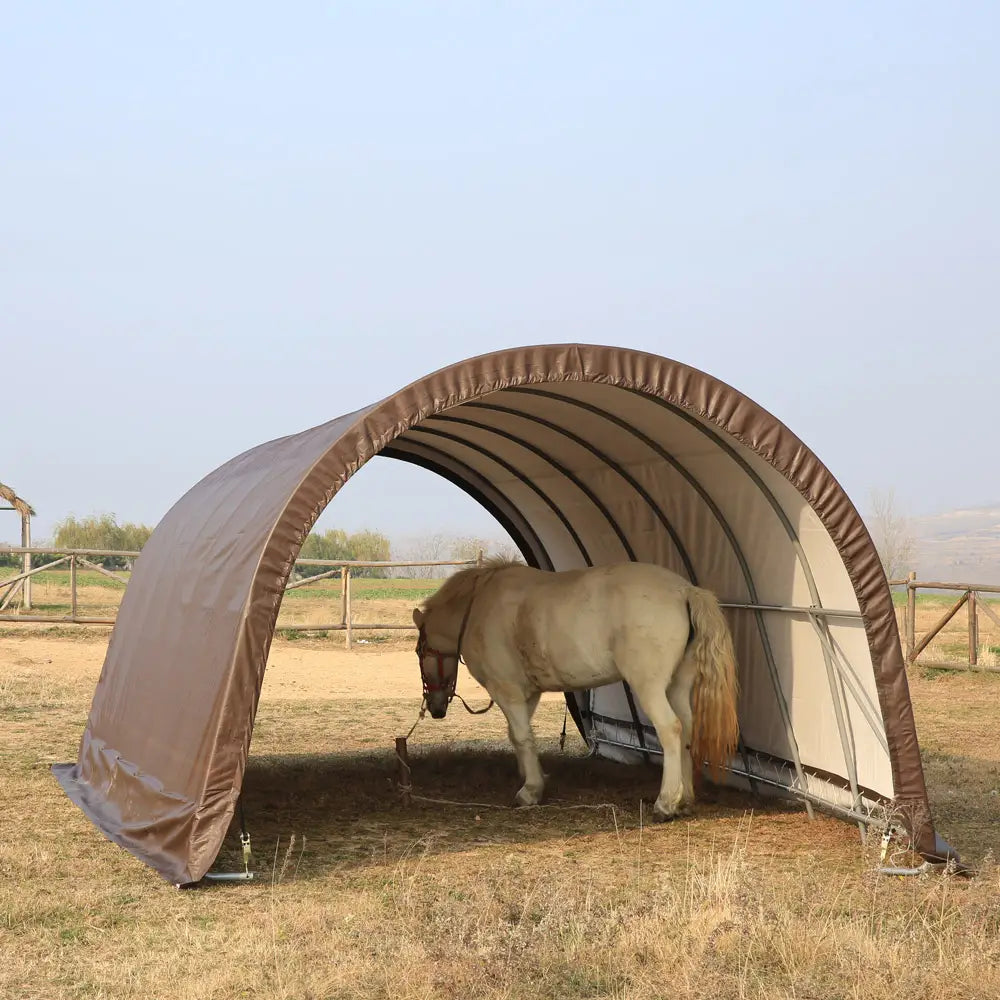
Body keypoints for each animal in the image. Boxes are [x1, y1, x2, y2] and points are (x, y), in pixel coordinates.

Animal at [411, 559, 740, 820]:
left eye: (419, 651)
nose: (435, 707)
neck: (478, 607)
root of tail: (684, 590)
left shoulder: (507, 691)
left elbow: (521, 736)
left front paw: (530, 791)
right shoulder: (528, 694)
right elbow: (519, 736)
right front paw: (533, 775)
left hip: (649, 686)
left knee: (671, 729)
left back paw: (666, 803)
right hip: (677, 685)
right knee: (686, 728)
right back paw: (685, 800)